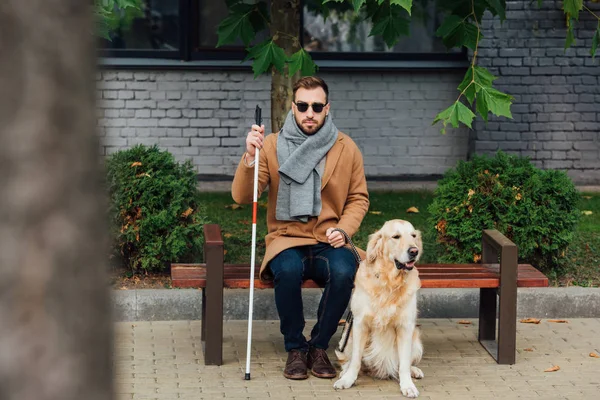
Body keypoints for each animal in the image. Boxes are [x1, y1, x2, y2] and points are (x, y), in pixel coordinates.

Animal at [330, 220, 424, 398]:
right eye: (396, 236)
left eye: (413, 235)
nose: (414, 251)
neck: (390, 282)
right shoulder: (360, 324)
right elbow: (356, 360)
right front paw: (348, 380)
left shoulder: (406, 326)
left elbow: (404, 364)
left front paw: (408, 385)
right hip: (348, 336)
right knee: (348, 360)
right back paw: (344, 372)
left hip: (416, 340)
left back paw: (414, 370)